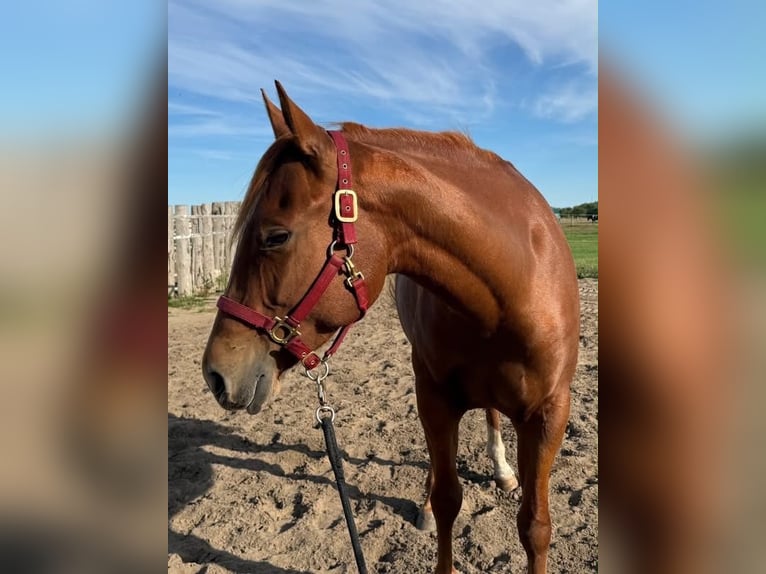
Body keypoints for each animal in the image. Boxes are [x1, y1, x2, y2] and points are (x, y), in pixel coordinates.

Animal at [202, 81, 580, 574]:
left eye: (275, 236)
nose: (215, 373)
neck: (512, 287)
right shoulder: (435, 399)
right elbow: (448, 501)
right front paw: (432, 509)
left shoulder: (550, 414)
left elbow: (535, 525)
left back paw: (501, 471)